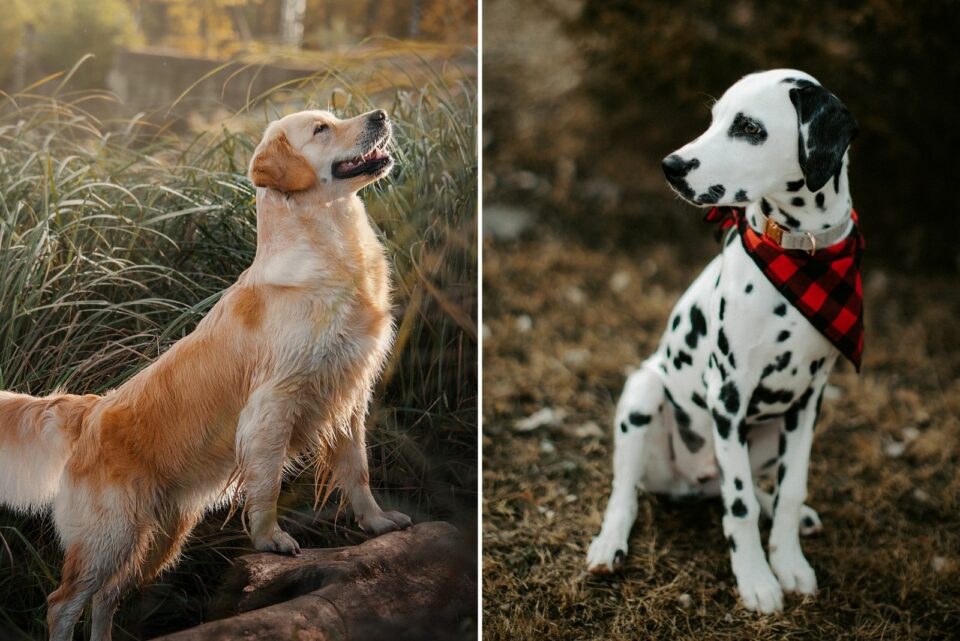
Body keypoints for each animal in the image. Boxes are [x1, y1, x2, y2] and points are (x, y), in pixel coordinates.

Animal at [584, 67, 864, 612]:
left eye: (749, 128)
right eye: (713, 118)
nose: (670, 166)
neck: (802, 252)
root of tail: (693, 482)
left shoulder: (808, 400)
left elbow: (790, 487)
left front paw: (789, 562)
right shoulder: (728, 394)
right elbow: (738, 505)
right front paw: (756, 579)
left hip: (769, 435)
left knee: (759, 490)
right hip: (643, 395)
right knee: (626, 491)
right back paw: (609, 544)